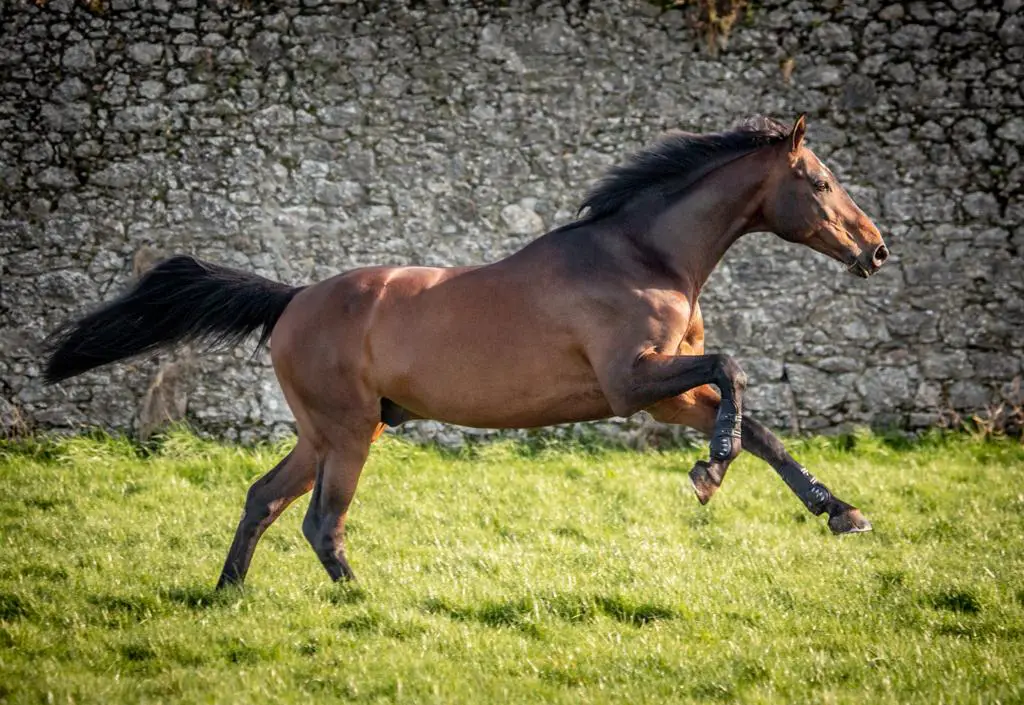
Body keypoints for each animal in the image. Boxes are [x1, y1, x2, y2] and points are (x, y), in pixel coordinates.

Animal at [44, 115, 890, 589]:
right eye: (820, 182)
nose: (877, 249)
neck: (643, 257)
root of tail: (292, 299)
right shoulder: (632, 381)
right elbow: (735, 374)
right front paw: (709, 471)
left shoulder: (667, 392)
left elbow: (760, 426)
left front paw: (840, 511)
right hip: (349, 433)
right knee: (320, 520)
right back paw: (361, 598)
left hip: (329, 431)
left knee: (262, 497)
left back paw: (228, 591)